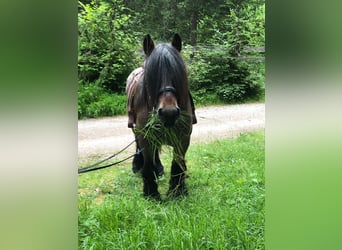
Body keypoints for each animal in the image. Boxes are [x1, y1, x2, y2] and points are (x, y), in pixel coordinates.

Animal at [131, 34, 192, 199]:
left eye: (177, 73)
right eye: (152, 76)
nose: (169, 113)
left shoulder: (183, 138)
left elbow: (178, 163)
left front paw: (178, 190)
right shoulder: (145, 137)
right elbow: (148, 163)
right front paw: (151, 192)